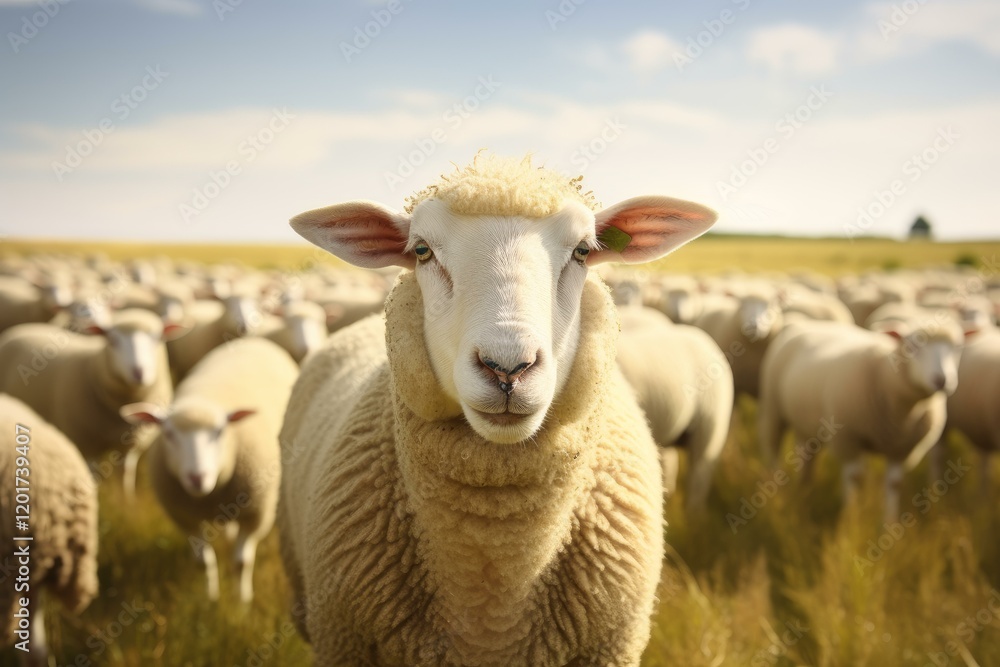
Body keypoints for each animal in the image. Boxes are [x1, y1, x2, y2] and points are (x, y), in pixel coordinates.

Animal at [0, 309, 184, 498]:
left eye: (157, 338)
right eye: (113, 340)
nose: (138, 372)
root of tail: (23, 327)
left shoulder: (130, 445)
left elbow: (125, 476)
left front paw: (126, 500)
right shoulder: (86, 443)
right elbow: (92, 475)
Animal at [121, 337, 298, 602]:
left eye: (220, 431)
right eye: (168, 434)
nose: (197, 477)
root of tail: (252, 339)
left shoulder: (255, 514)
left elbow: (241, 562)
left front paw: (242, 601)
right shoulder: (184, 517)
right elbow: (203, 563)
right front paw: (210, 599)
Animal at [758, 318, 964, 523]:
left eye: (958, 348)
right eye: (912, 346)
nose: (942, 381)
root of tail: (810, 322)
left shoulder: (902, 449)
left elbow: (894, 483)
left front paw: (889, 522)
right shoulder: (848, 438)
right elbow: (855, 478)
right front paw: (851, 519)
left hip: (806, 425)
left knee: (807, 457)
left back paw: (805, 490)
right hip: (773, 409)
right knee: (773, 449)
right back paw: (776, 496)